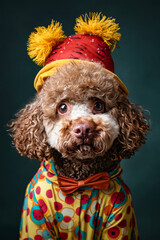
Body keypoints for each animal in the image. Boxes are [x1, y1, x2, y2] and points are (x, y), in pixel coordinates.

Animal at [10, 13, 150, 240]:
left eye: (99, 105)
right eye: (62, 107)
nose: (83, 128)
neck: (81, 181)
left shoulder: (120, 220)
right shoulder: (36, 219)